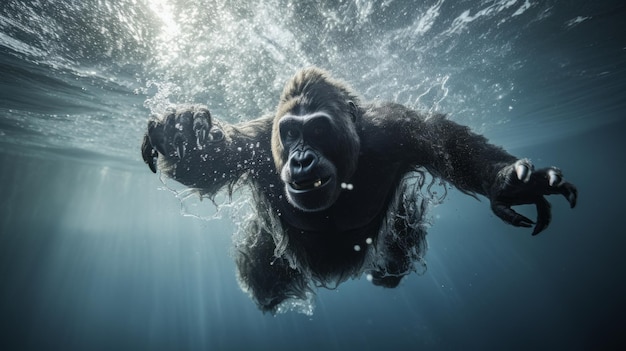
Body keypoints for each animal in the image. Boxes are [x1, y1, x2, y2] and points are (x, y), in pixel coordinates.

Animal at [141, 67, 576, 314]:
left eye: (317, 130)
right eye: (291, 133)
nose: (301, 159)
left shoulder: (397, 129)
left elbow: (447, 143)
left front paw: (509, 183)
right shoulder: (259, 141)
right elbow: (208, 162)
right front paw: (180, 132)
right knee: (266, 277)